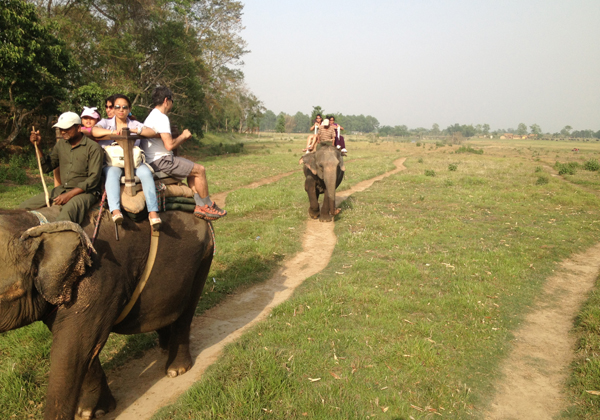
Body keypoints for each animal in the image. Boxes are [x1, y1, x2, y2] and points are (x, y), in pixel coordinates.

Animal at [0, 209, 214, 420]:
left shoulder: (96, 281)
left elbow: (72, 350)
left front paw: (86, 412)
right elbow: (85, 347)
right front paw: (94, 411)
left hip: (203, 257)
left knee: (187, 310)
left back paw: (176, 370)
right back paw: (165, 348)